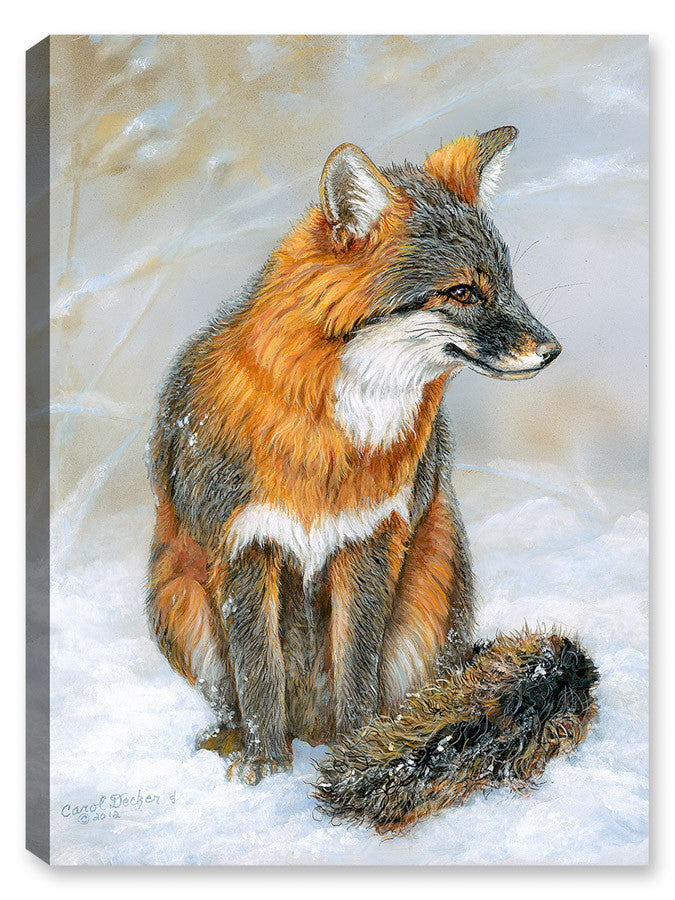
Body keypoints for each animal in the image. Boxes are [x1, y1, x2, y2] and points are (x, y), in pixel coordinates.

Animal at [146, 126, 598, 834]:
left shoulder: (370, 544)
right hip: (177, 598)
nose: (552, 350)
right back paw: (233, 740)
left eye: (506, 283)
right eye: (462, 292)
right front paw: (265, 772)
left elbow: (356, 673)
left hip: (432, 586)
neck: (325, 441)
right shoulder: (243, 549)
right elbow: (258, 677)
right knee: (232, 698)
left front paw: (357, 754)